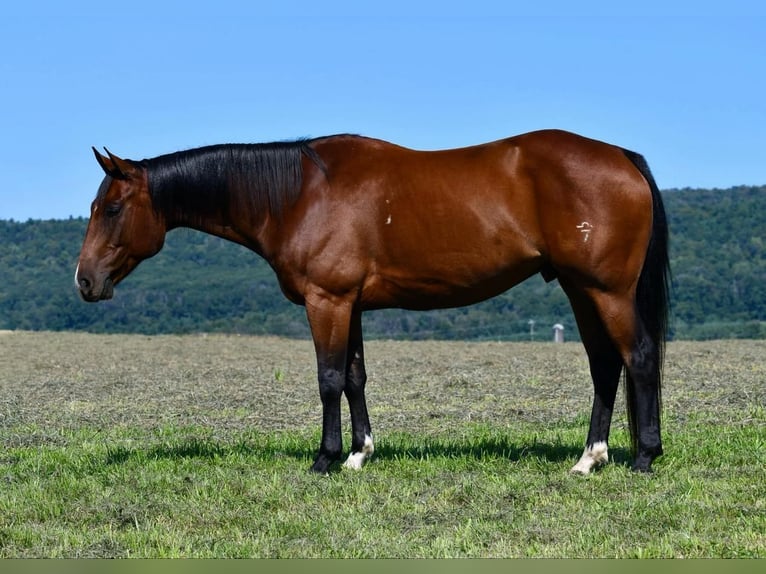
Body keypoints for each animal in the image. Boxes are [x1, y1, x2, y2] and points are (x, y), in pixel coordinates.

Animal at [75, 132, 668, 476]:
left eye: (112, 208)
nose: (84, 281)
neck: (300, 194)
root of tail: (621, 157)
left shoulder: (327, 301)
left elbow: (329, 378)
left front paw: (326, 458)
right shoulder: (351, 304)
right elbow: (355, 377)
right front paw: (361, 453)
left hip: (606, 291)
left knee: (637, 357)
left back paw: (643, 457)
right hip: (579, 288)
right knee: (604, 364)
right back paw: (589, 458)